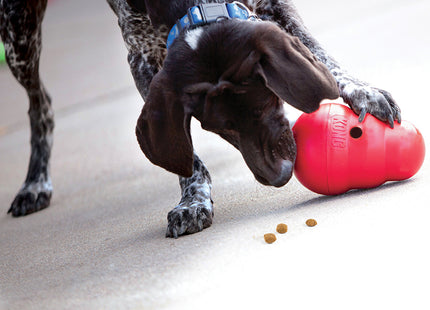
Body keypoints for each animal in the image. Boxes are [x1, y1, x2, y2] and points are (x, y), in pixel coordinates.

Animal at [1, 0, 402, 237]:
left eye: (265, 103)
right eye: (220, 129)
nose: (280, 177)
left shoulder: (273, 6)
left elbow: (321, 57)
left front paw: (362, 91)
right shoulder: (142, 58)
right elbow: (186, 156)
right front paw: (193, 200)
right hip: (17, 34)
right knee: (41, 104)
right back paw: (35, 184)